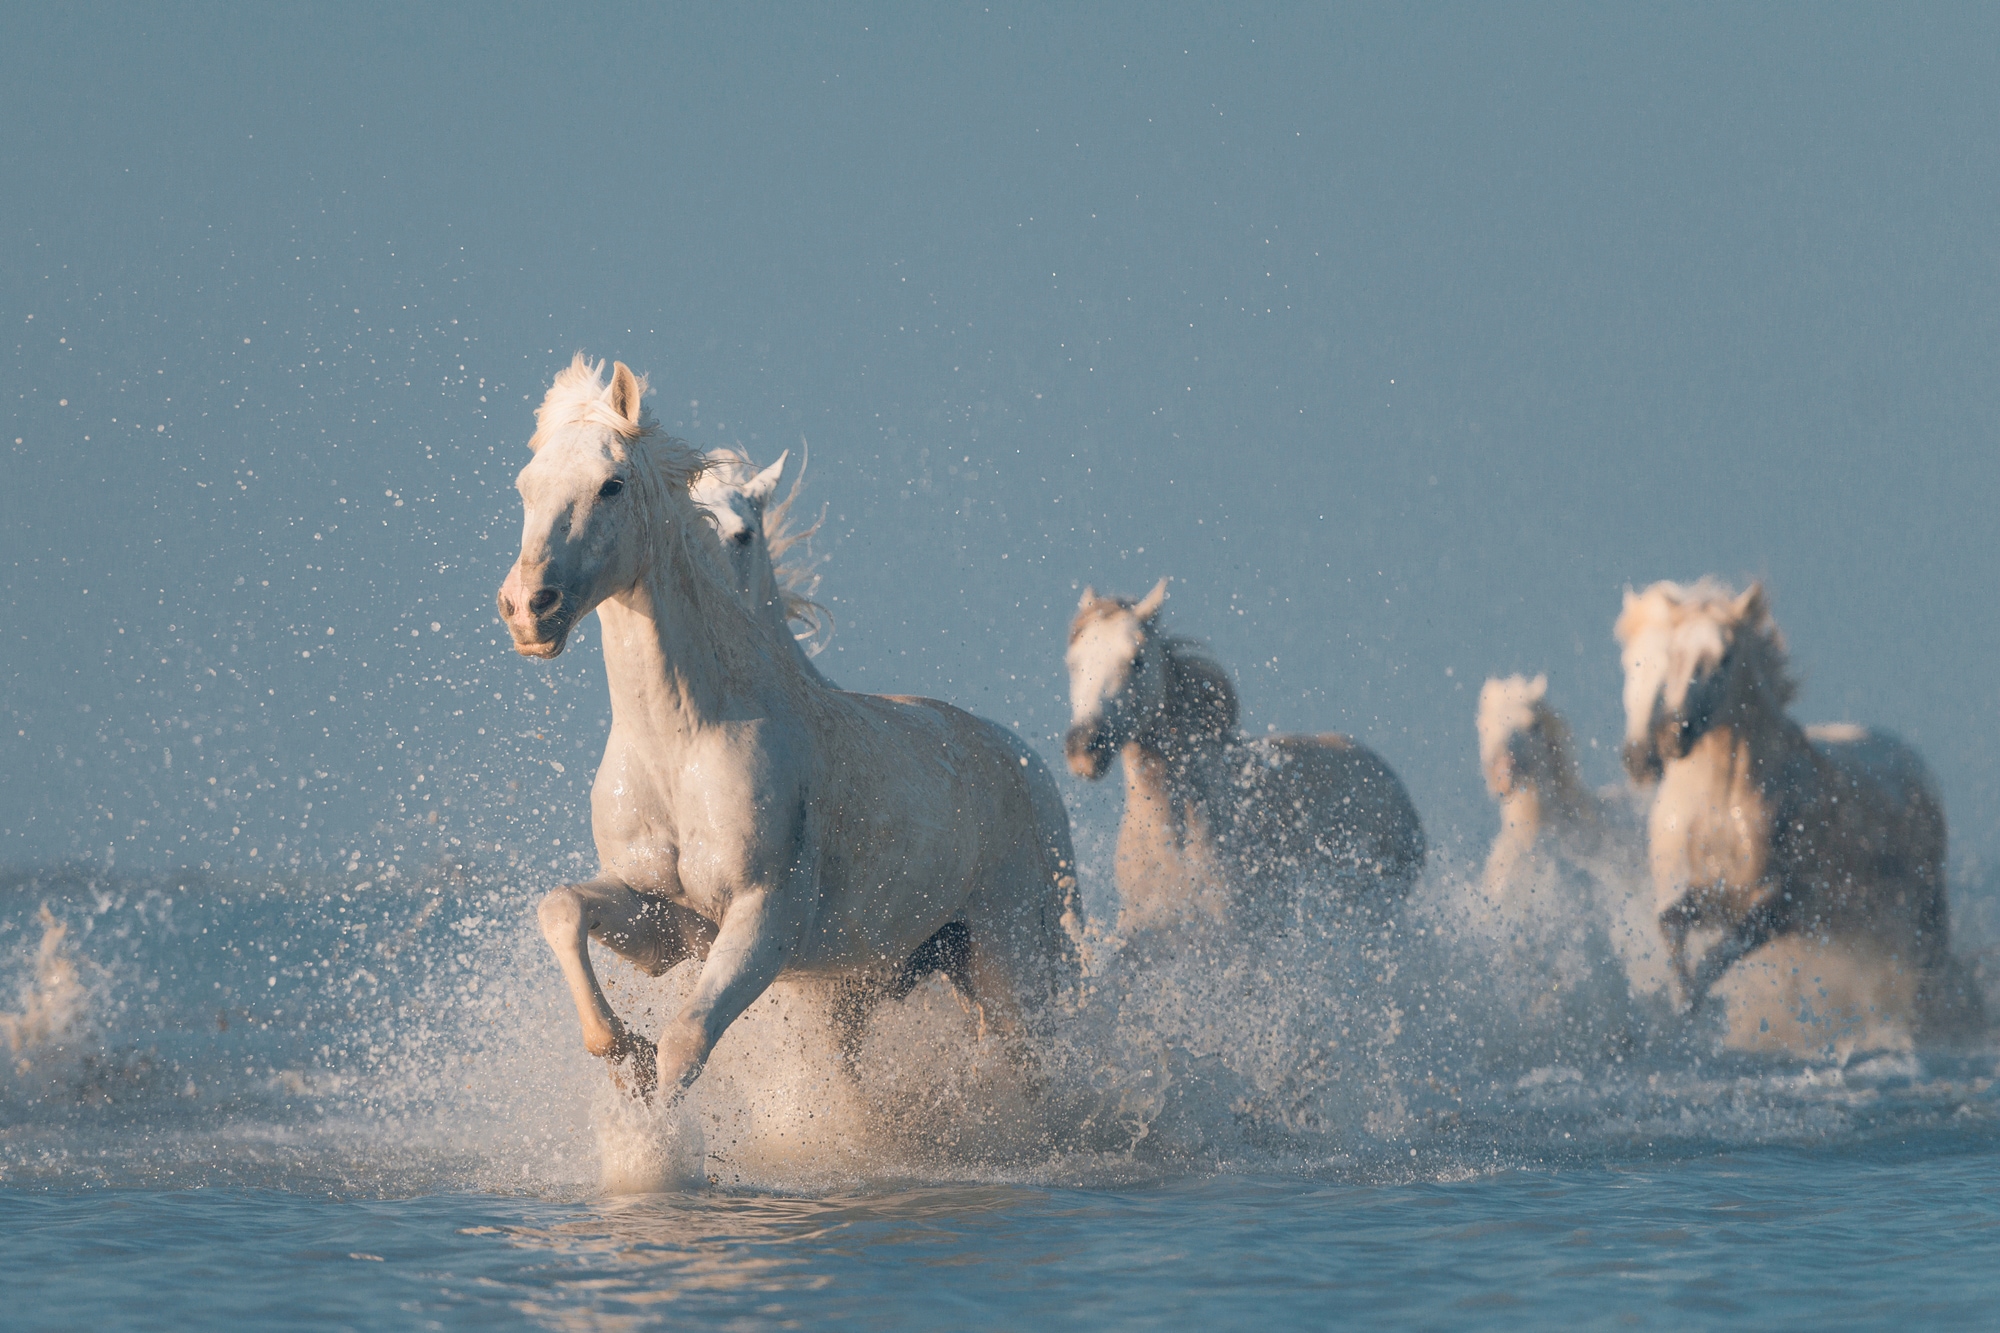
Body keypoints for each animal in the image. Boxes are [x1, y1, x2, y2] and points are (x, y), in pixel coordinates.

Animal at [498, 352, 1088, 1096]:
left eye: (611, 485)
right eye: (526, 487)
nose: (528, 609)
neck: (682, 742)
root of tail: (1025, 762)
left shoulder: (764, 921)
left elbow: (686, 1042)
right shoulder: (666, 920)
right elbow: (562, 907)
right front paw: (621, 1050)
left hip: (1010, 958)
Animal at [1616, 576, 1976, 1032]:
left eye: (1724, 658)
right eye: (1674, 655)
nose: (1669, 737)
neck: (1720, 804)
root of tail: (1914, 762)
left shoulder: (1777, 908)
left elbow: (1717, 955)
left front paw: (1695, 1008)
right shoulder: (1710, 895)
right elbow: (1671, 925)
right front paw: (1681, 1004)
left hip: (1922, 916)